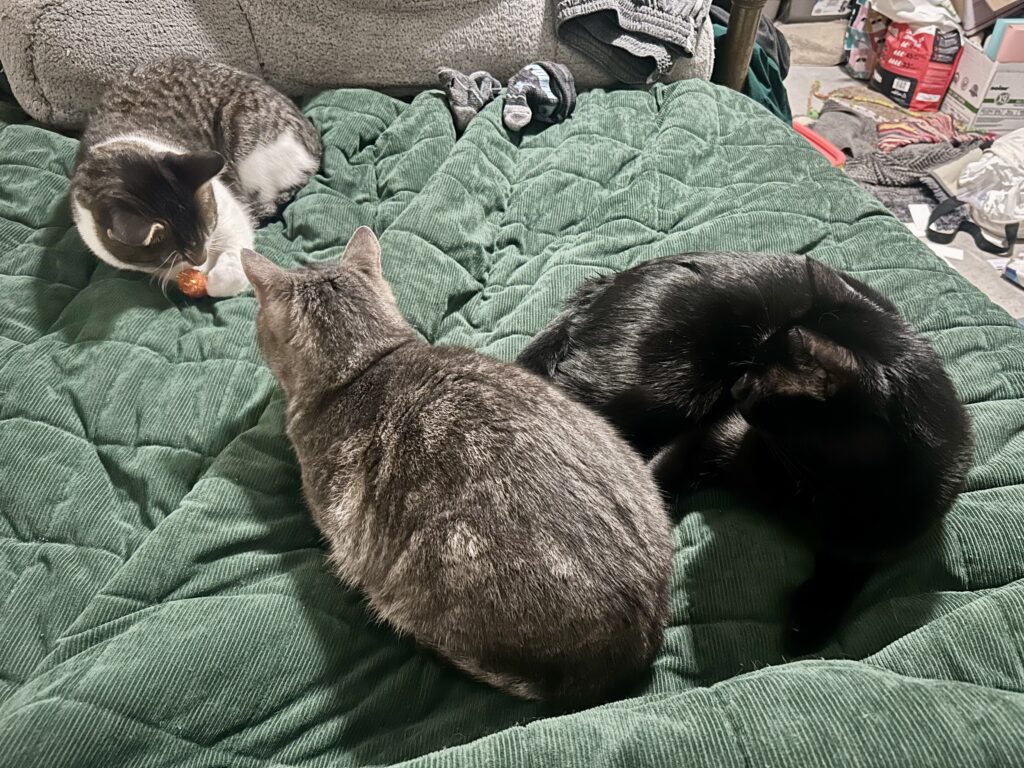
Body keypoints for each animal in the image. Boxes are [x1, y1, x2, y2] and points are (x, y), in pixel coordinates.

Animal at [71, 57, 321, 297]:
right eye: (172, 255)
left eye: (210, 224)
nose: (201, 258)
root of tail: (314, 139)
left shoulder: (228, 207)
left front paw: (216, 279)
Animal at [518, 252, 973, 654]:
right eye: (751, 361)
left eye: (761, 378)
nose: (736, 387)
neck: (819, 481)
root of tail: (606, 282)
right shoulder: (712, 433)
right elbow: (654, 482)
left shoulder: (881, 540)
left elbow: (847, 576)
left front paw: (810, 622)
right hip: (654, 392)